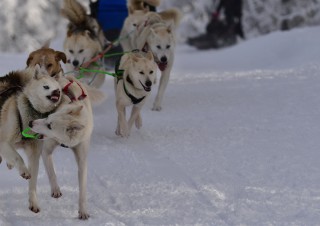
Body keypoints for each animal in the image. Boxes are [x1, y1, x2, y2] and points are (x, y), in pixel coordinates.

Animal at [0, 66, 62, 214]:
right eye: (46, 86)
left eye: (58, 88)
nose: (56, 92)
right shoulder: (3, 143)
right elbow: (18, 157)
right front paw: (24, 171)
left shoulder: (34, 153)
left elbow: (33, 182)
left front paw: (33, 202)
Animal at [29, 75, 105, 220]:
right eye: (48, 117)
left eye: (50, 126)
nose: (31, 123)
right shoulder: (46, 151)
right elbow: (52, 172)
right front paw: (55, 189)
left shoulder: (82, 161)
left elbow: (82, 189)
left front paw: (83, 211)